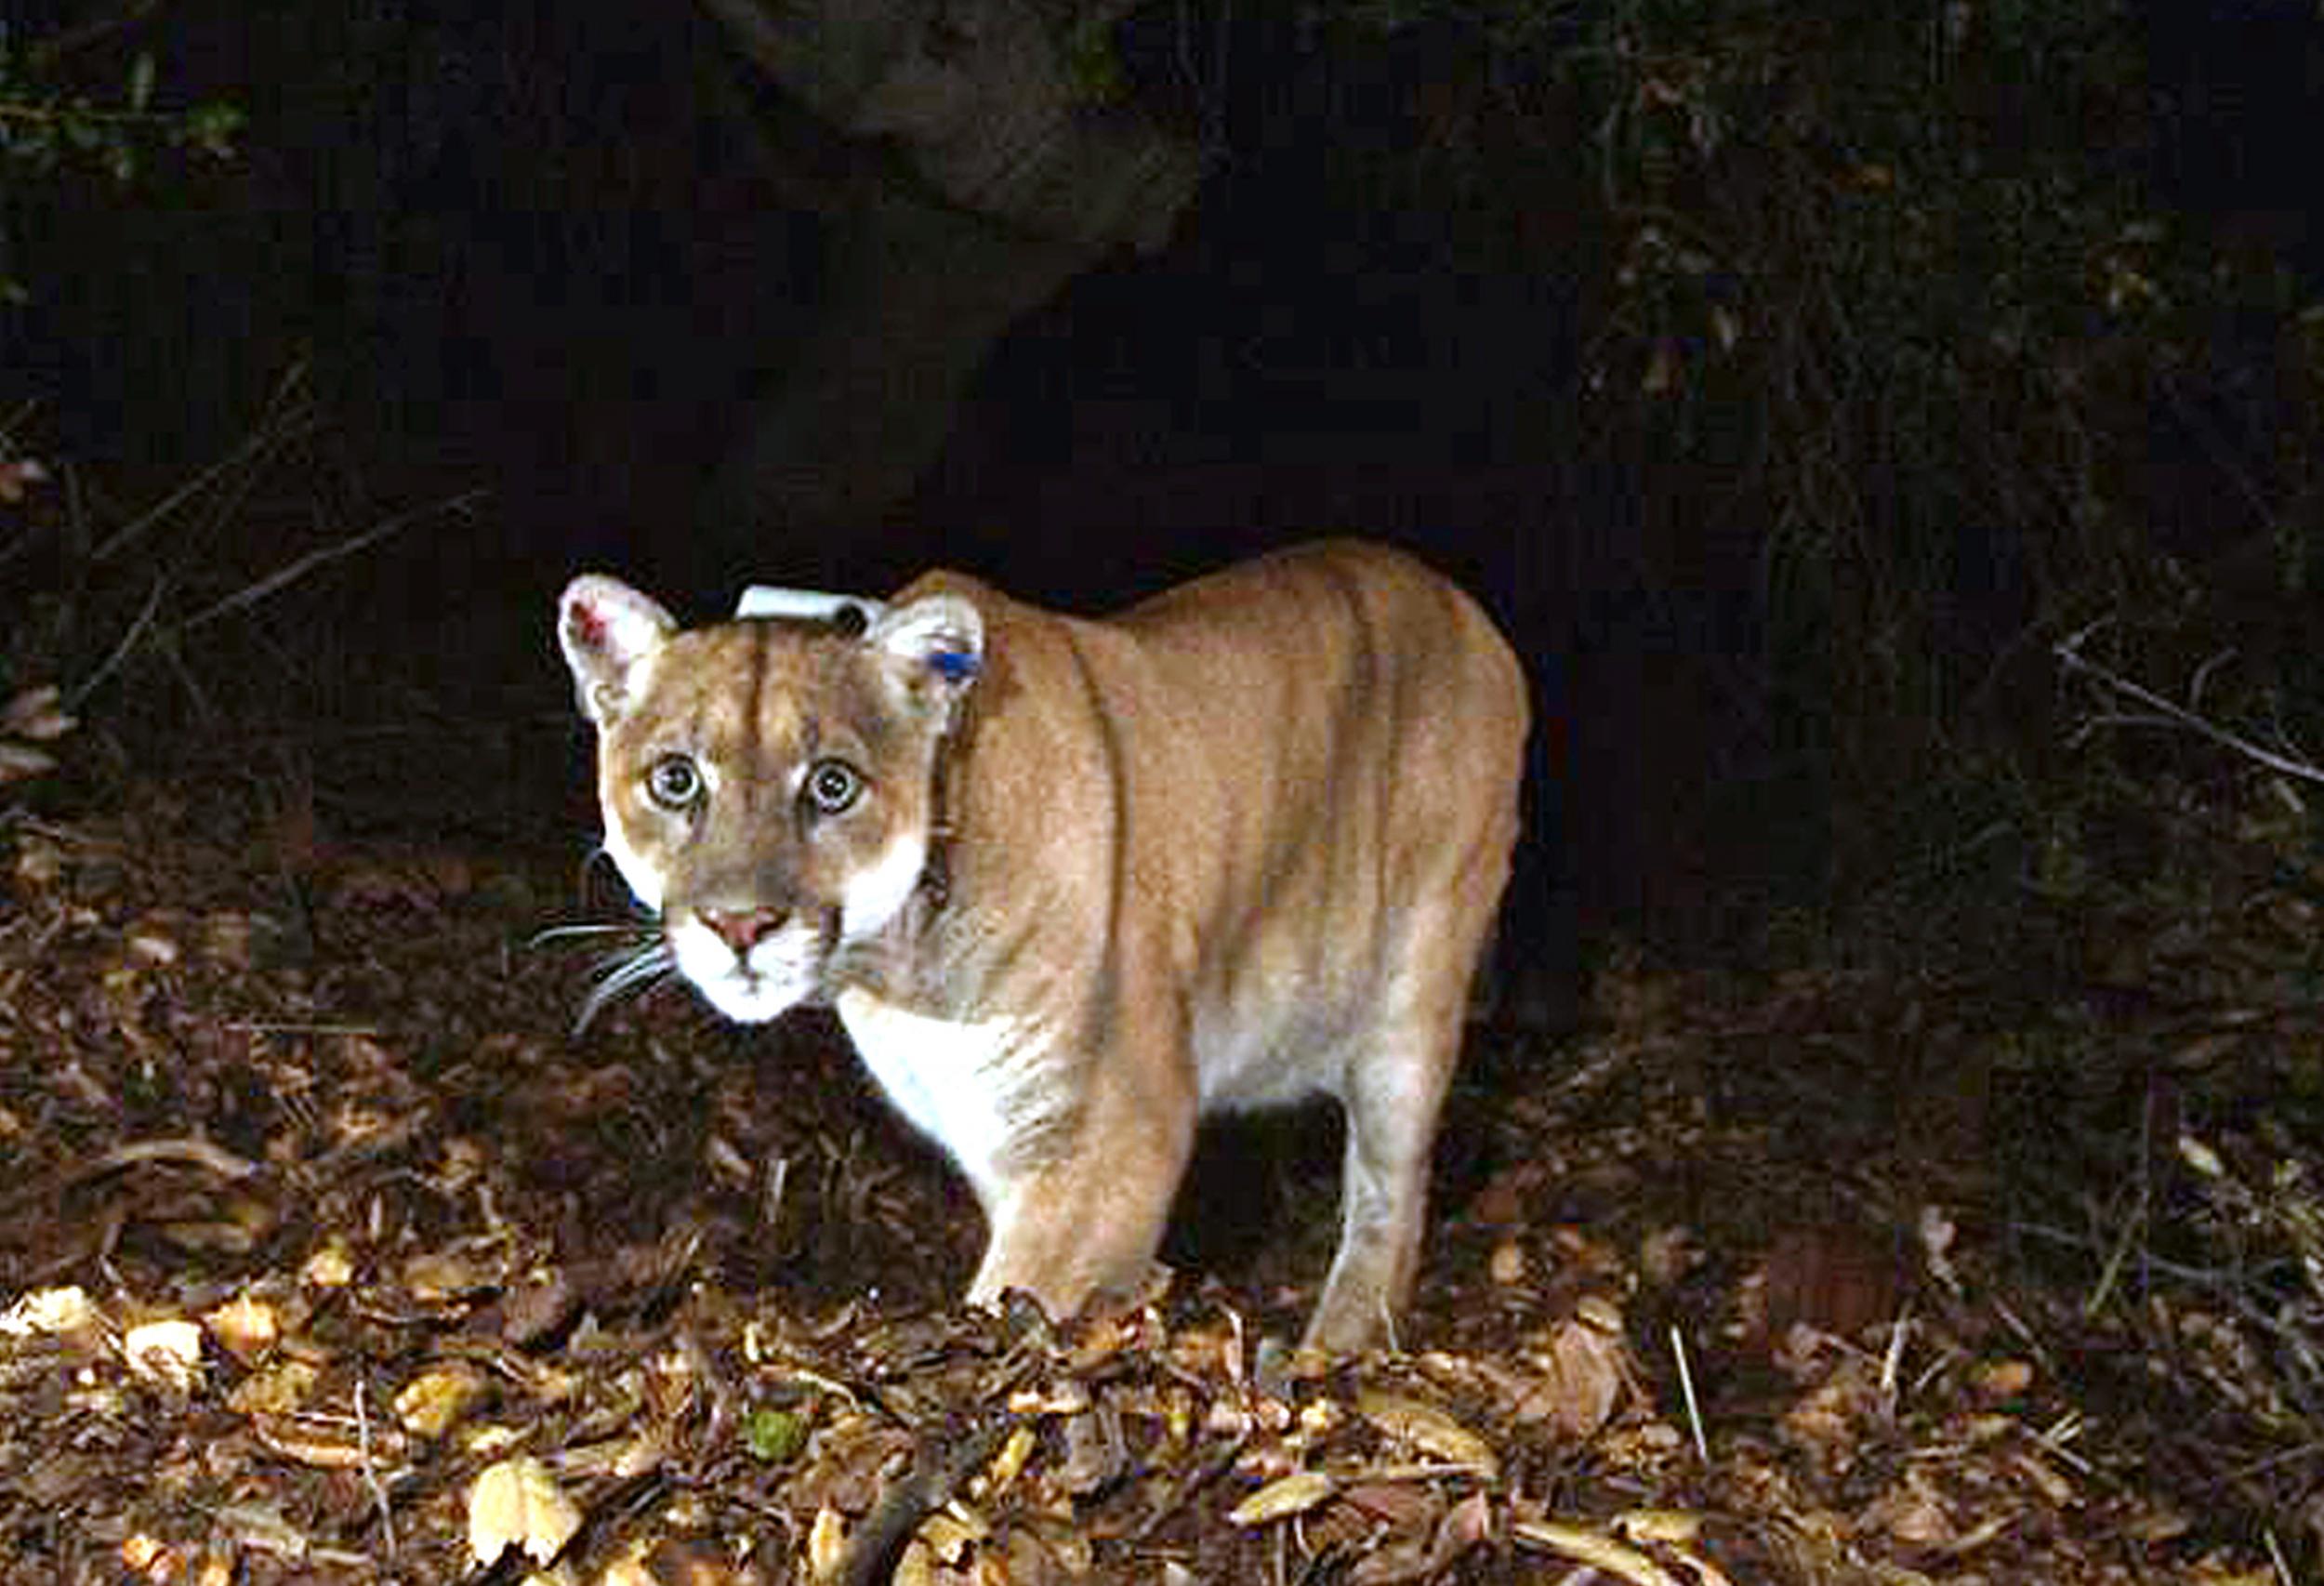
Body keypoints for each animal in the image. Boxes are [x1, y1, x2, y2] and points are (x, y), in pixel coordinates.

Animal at [562, 536, 1534, 1339]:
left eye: (833, 785)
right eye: (676, 780)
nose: (741, 924)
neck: (902, 971)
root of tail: (1461, 601)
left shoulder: (1113, 1136)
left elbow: (1016, 1298)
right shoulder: (998, 1136)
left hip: (1415, 991)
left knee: (1390, 1199)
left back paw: (1335, 1344)